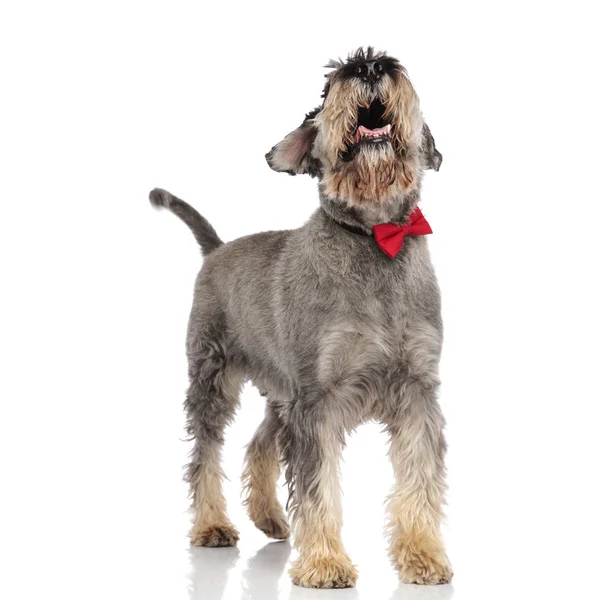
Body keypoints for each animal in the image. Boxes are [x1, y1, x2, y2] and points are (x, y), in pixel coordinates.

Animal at [149, 48, 450, 592]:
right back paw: (212, 524)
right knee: (205, 454)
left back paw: (269, 516)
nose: (370, 66)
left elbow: (419, 477)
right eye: (327, 88)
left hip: (281, 391)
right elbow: (317, 486)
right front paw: (326, 563)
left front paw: (422, 555)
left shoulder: (416, 390)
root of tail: (216, 248)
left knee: (258, 444)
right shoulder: (319, 400)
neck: (374, 238)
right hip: (212, 378)